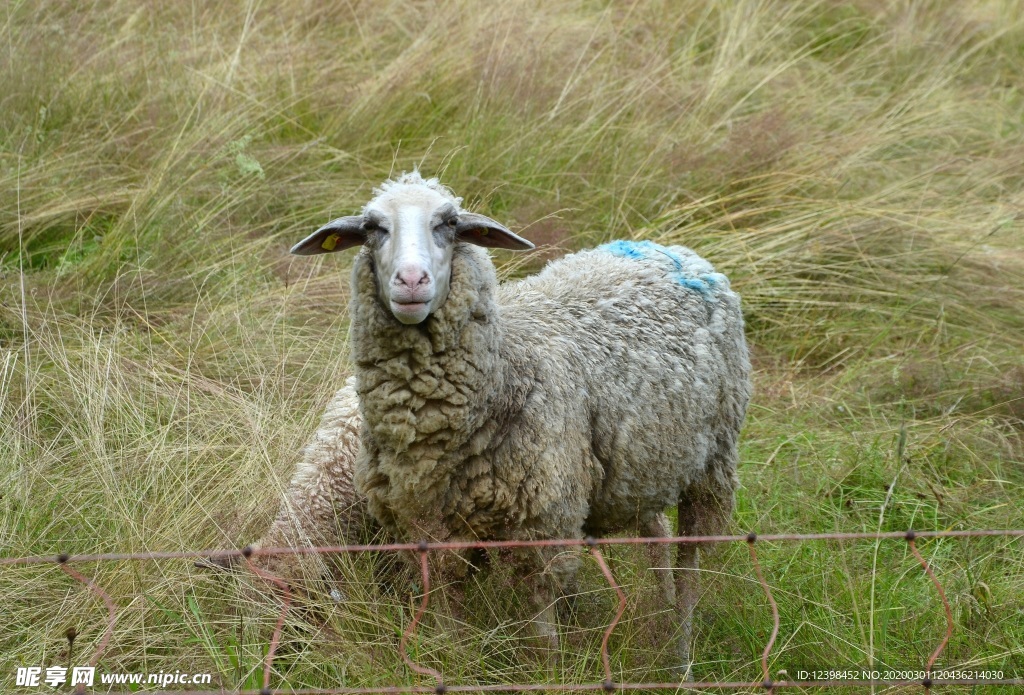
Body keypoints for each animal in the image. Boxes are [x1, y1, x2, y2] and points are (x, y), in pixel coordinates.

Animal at [288, 170, 753, 675]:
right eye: (373, 228)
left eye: (449, 223)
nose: (411, 280)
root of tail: (668, 249)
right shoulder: (431, 531)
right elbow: (447, 620)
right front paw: (452, 663)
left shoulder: (543, 524)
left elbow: (542, 633)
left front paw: (549, 673)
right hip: (641, 461)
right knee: (657, 533)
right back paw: (661, 619)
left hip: (712, 464)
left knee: (691, 560)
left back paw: (679, 654)